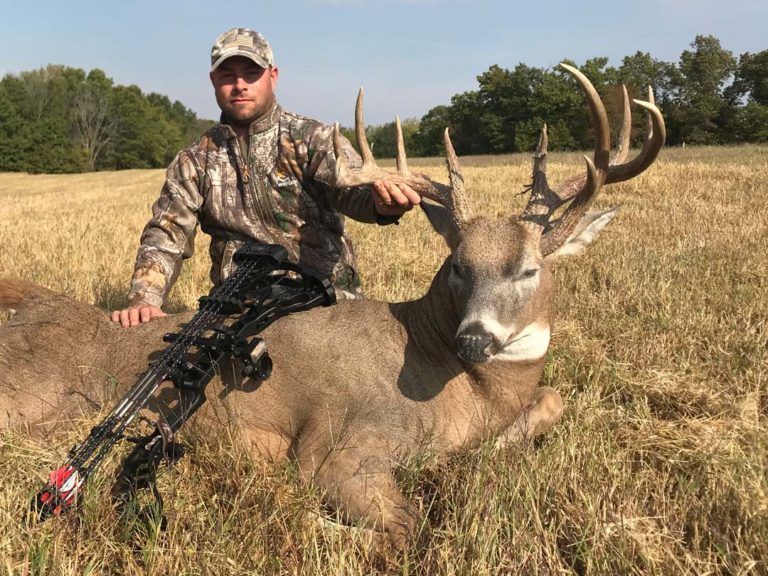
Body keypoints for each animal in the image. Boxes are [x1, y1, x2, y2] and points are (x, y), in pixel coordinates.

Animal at [0, 64, 665, 546]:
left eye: (530, 269)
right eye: (458, 265)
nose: (475, 338)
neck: (456, 384)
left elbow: (551, 402)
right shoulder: (342, 445)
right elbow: (406, 531)